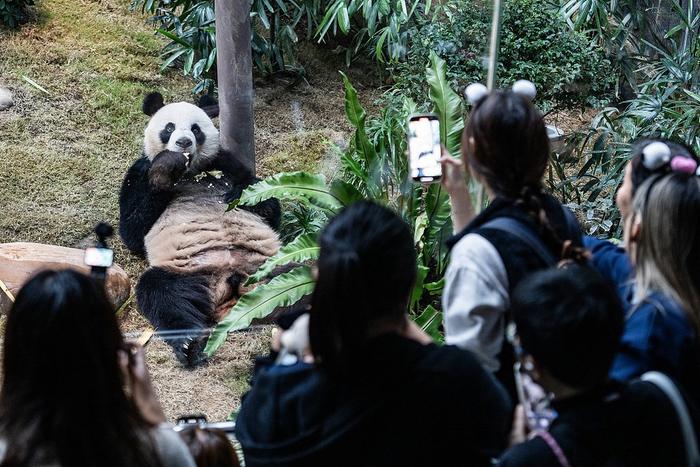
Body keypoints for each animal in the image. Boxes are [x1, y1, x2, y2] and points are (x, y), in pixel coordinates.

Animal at [120, 93, 282, 368]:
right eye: (169, 128)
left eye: (196, 129)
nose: (184, 142)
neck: (191, 173)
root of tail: (230, 283)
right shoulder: (139, 172)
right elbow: (132, 231)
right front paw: (165, 169)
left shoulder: (226, 163)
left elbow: (267, 202)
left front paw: (237, 195)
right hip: (189, 273)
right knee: (163, 295)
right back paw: (189, 344)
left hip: (270, 264)